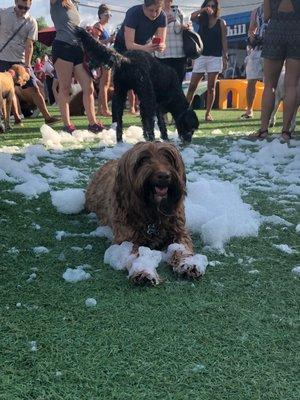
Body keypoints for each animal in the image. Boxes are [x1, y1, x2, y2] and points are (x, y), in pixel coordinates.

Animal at [85, 141, 204, 284]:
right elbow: (136, 254)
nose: (164, 175)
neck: (153, 213)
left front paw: (188, 263)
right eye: (142, 159)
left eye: (168, 157)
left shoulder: (179, 230)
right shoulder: (126, 239)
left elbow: (182, 247)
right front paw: (143, 270)